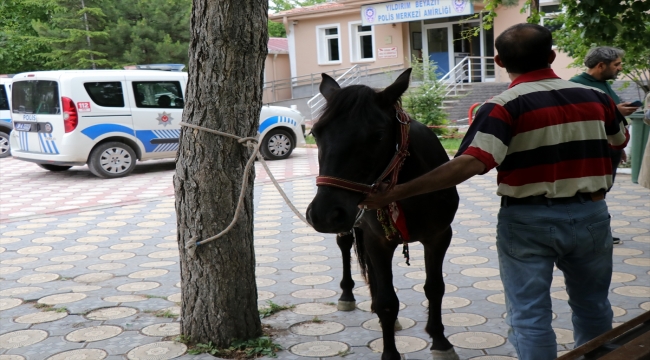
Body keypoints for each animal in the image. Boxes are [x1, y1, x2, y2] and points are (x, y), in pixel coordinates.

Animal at [306, 68, 458, 360]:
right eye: (315, 133)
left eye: (377, 135)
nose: (323, 214)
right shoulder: (378, 241)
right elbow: (388, 301)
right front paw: (390, 352)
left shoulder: (439, 236)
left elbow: (435, 288)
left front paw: (440, 340)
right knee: (345, 246)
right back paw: (347, 295)